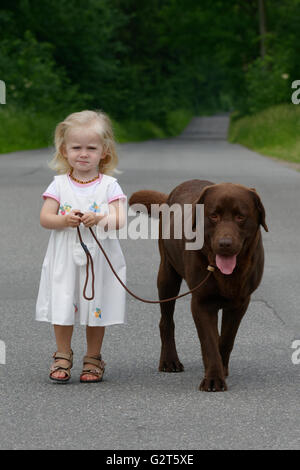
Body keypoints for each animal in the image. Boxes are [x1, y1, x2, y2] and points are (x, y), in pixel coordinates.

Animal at [128, 180, 268, 392]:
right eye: (214, 215)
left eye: (240, 216)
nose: (224, 244)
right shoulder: (201, 302)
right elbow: (209, 342)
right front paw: (214, 378)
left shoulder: (240, 303)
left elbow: (226, 339)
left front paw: (220, 369)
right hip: (167, 276)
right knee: (166, 321)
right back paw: (169, 361)